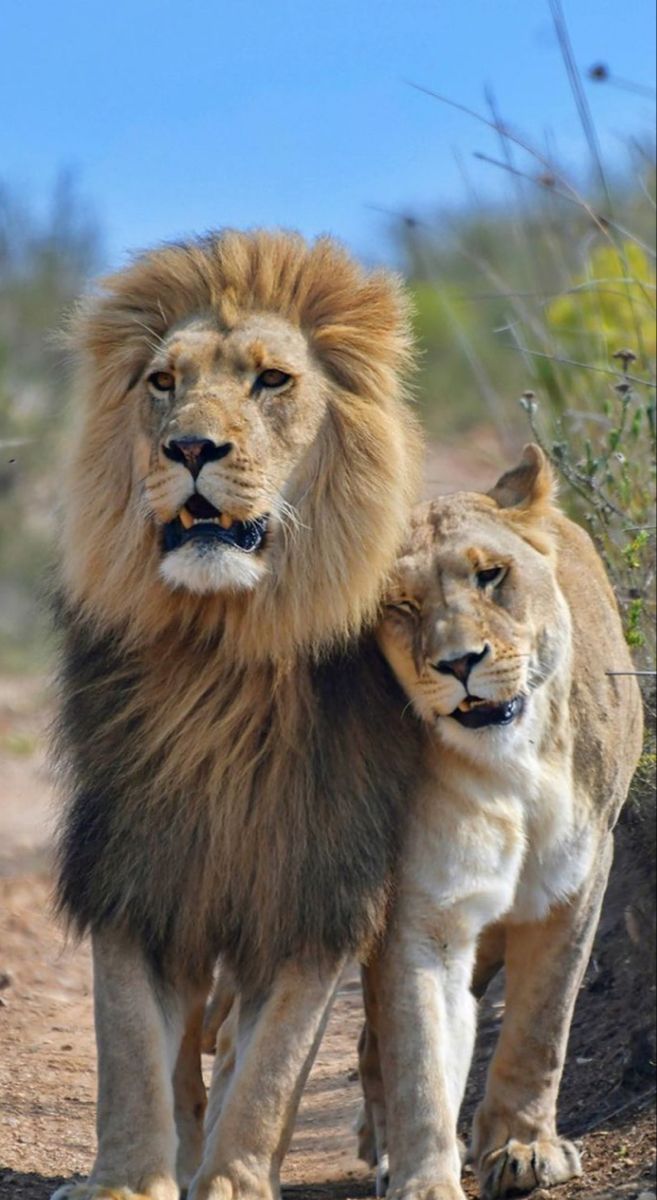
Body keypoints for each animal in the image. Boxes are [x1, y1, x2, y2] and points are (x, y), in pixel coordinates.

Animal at [51, 230, 425, 1200]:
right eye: (161, 381)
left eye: (272, 380)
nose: (189, 446)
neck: (221, 658)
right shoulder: (138, 862)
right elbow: (131, 1048)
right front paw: (128, 1178)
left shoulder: (316, 881)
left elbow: (271, 1070)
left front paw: (231, 1180)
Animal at [356, 445, 644, 1200]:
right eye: (401, 605)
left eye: (491, 575)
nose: (460, 663)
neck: (514, 766)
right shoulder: (424, 904)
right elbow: (420, 1053)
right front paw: (423, 1179)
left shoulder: (575, 881)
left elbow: (540, 1026)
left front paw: (523, 1148)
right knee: (373, 1040)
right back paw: (385, 1151)